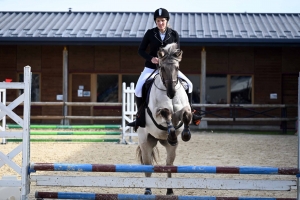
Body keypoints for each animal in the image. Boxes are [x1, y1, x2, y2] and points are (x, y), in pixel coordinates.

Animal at [135, 42, 192, 195]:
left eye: (177, 68)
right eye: (162, 68)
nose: (171, 93)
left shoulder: (182, 111)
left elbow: (186, 115)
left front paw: (185, 134)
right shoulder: (157, 114)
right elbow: (166, 113)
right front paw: (172, 134)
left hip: (169, 147)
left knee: (169, 164)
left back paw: (170, 190)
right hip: (145, 141)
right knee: (148, 166)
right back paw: (148, 190)